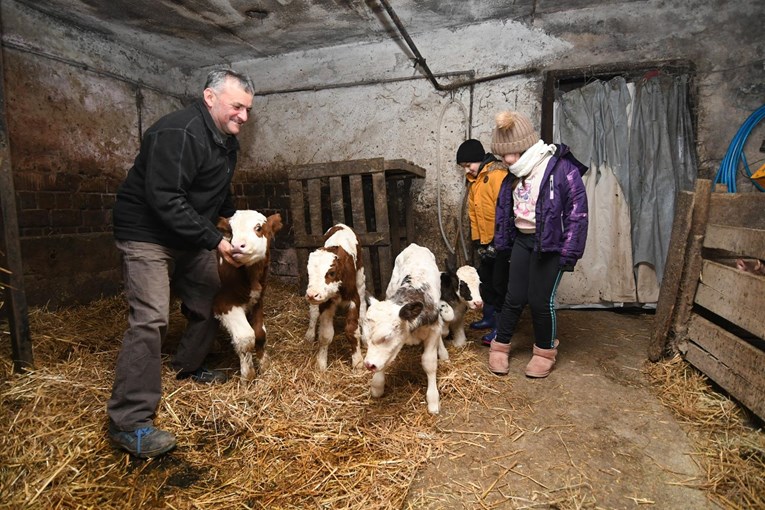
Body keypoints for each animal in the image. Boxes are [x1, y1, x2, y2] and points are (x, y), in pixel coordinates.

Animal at [213, 209, 282, 380]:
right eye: (231, 232)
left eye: (258, 228)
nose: (237, 246)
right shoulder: (224, 304)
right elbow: (246, 337)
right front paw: (248, 374)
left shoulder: (257, 299)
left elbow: (259, 334)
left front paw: (264, 366)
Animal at [302, 224, 366, 370]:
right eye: (308, 273)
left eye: (331, 272)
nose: (312, 294)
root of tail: (340, 225)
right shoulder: (325, 302)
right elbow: (325, 335)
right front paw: (321, 363)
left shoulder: (354, 298)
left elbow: (352, 331)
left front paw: (358, 361)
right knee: (314, 313)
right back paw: (309, 334)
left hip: (360, 278)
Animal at [362, 243, 448, 414]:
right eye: (366, 338)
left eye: (386, 337)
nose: (368, 365)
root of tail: (415, 246)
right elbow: (385, 359)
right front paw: (377, 385)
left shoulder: (434, 329)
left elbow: (429, 362)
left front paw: (433, 400)